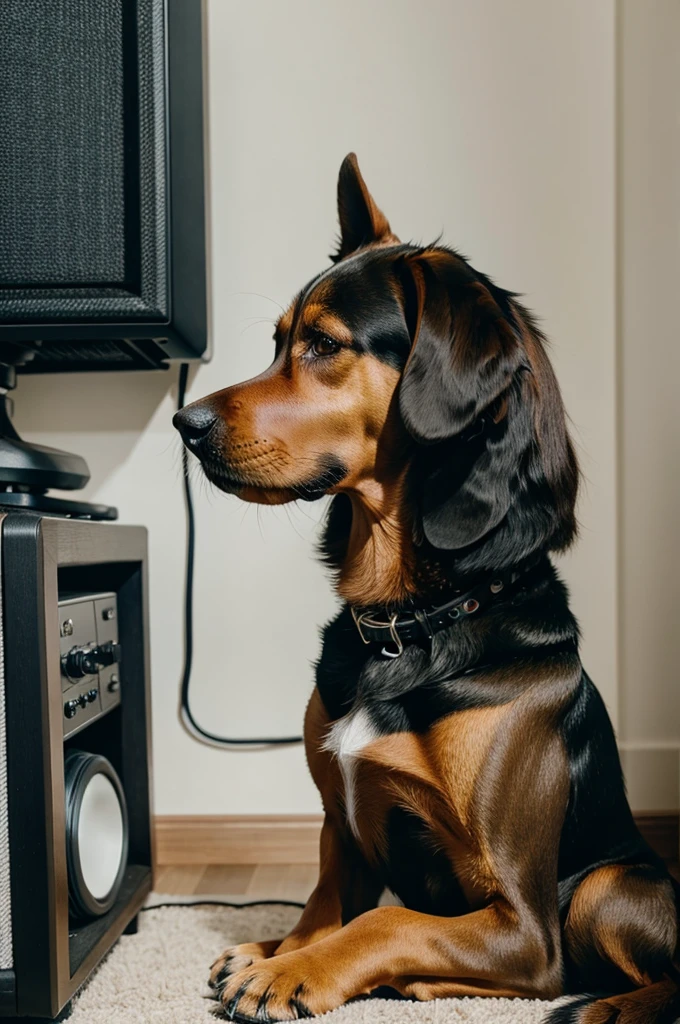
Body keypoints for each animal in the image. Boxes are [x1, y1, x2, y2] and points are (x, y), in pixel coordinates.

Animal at [174, 153, 680, 1024]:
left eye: (323, 344)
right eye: (278, 342)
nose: (185, 425)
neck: (406, 622)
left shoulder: (524, 923)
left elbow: (387, 922)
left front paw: (287, 974)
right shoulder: (339, 834)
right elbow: (321, 912)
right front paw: (279, 952)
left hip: (609, 886)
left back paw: (609, 1006)